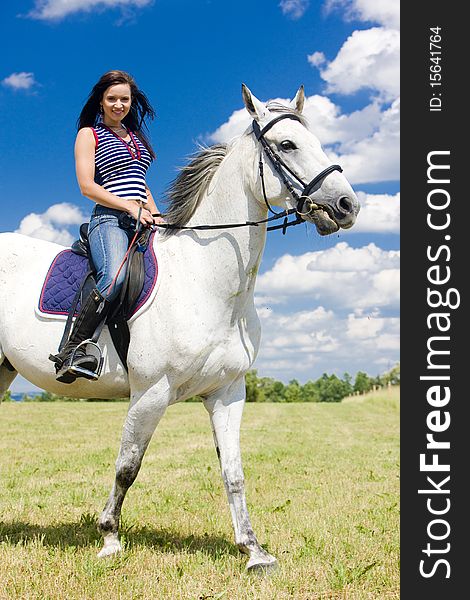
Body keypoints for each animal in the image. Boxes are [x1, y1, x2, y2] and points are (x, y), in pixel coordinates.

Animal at [0, 85, 360, 572]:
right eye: (287, 145)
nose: (347, 205)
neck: (206, 278)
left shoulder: (228, 392)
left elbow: (233, 472)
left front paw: (253, 550)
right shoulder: (151, 393)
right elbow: (127, 467)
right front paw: (109, 538)